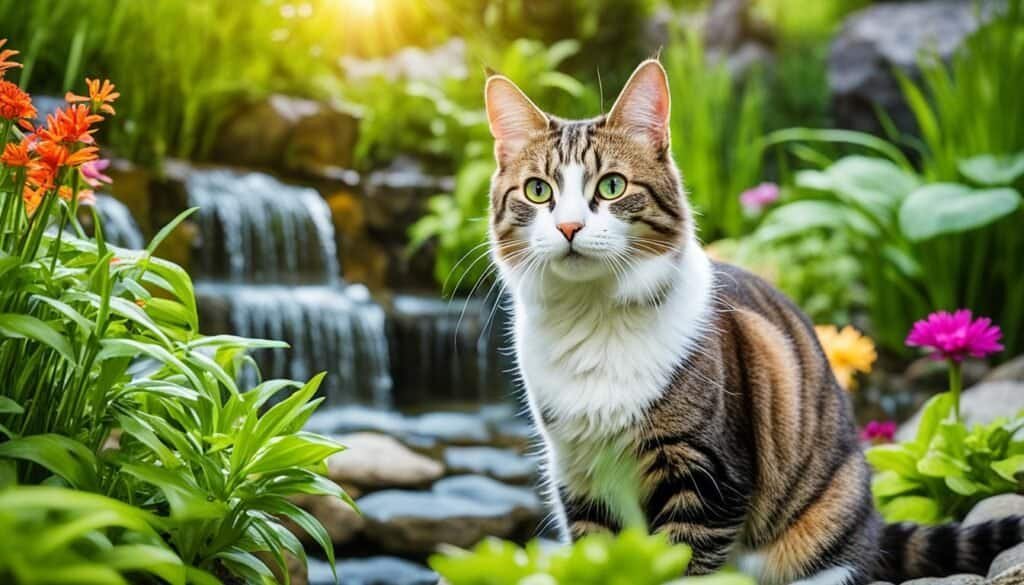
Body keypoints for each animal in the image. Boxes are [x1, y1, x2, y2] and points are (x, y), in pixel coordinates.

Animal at [481, 60, 1024, 585]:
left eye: (611, 186)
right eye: (537, 191)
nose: (569, 227)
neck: (593, 318)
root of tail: (872, 522)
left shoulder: (707, 477)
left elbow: (683, 566)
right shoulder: (581, 480)